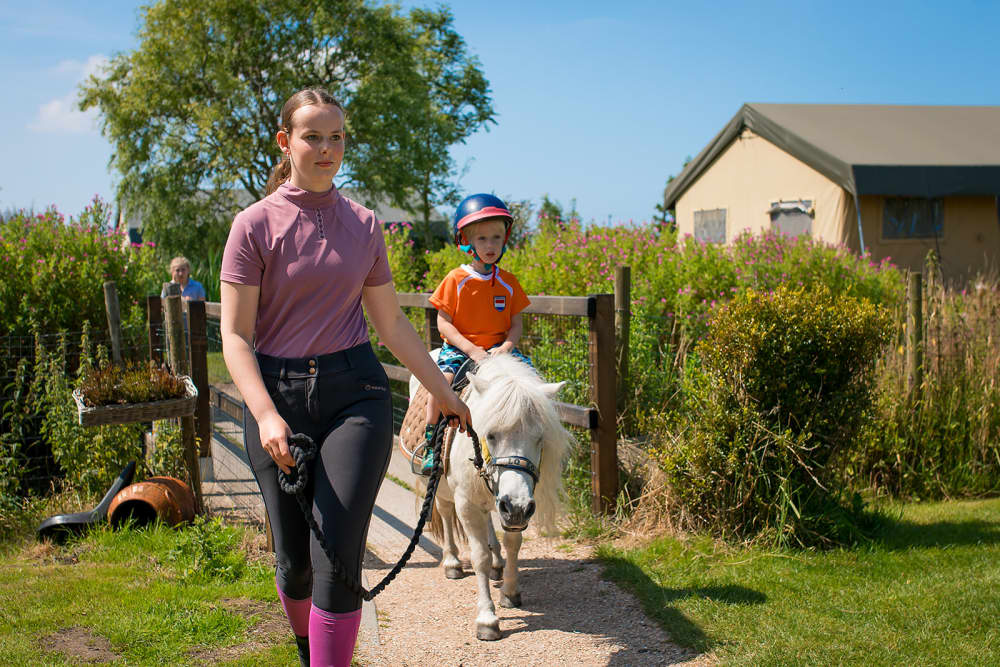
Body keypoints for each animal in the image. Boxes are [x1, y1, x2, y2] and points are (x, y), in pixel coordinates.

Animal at [412, 354, 572, 640]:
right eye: (491, 435)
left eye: (539, 438)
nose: (517, 507)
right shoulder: (466, 504)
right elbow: (480, 558)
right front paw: (487, 618)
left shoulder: (514, 510)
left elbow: (513, 545)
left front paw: (510, 591)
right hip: (443, 490)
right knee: (446, 515)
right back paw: (452, 563)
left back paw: (497, 563)